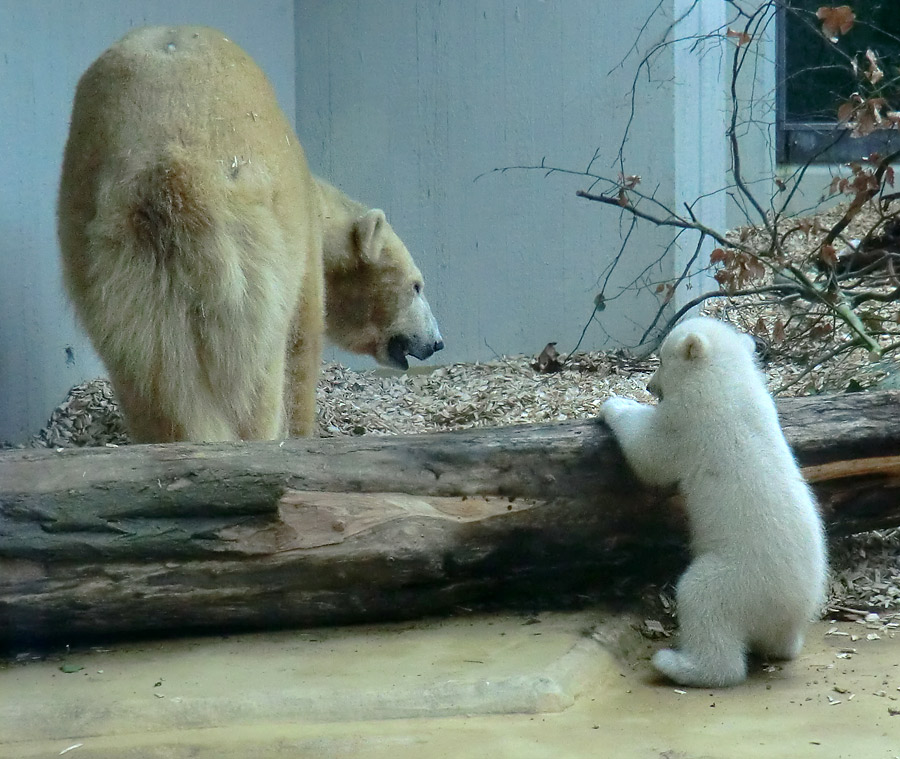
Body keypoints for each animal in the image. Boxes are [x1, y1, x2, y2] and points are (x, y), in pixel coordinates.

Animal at [56, 26, 442, 446]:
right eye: (417, 285)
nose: (436, 342)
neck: (317, 204)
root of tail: (172, 173)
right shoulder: (300, 254)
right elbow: (302, 349)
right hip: (247, 261)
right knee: (254, 380)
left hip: (107, 263)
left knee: (149, 378)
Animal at [600, 316, 828, 688]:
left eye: (661, 360)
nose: (649, 386)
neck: (728, 380)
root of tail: (794, 608)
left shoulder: (689, 418)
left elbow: (650, 451)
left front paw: (616, 405)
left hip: (740, 580)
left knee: (701, 598)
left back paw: (679, 664)